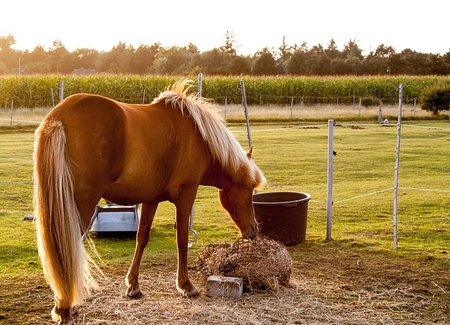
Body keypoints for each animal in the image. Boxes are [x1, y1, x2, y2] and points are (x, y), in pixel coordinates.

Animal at [35, 79, 266, 322]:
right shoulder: (186, 196)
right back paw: (64, 308)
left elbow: (142, 238)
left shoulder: (150, 200)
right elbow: (182, 239)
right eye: (249, 189)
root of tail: (58, 117)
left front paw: (133, 286)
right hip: (80, 205)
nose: (253, 230)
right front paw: (186, 285)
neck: (198, 137)